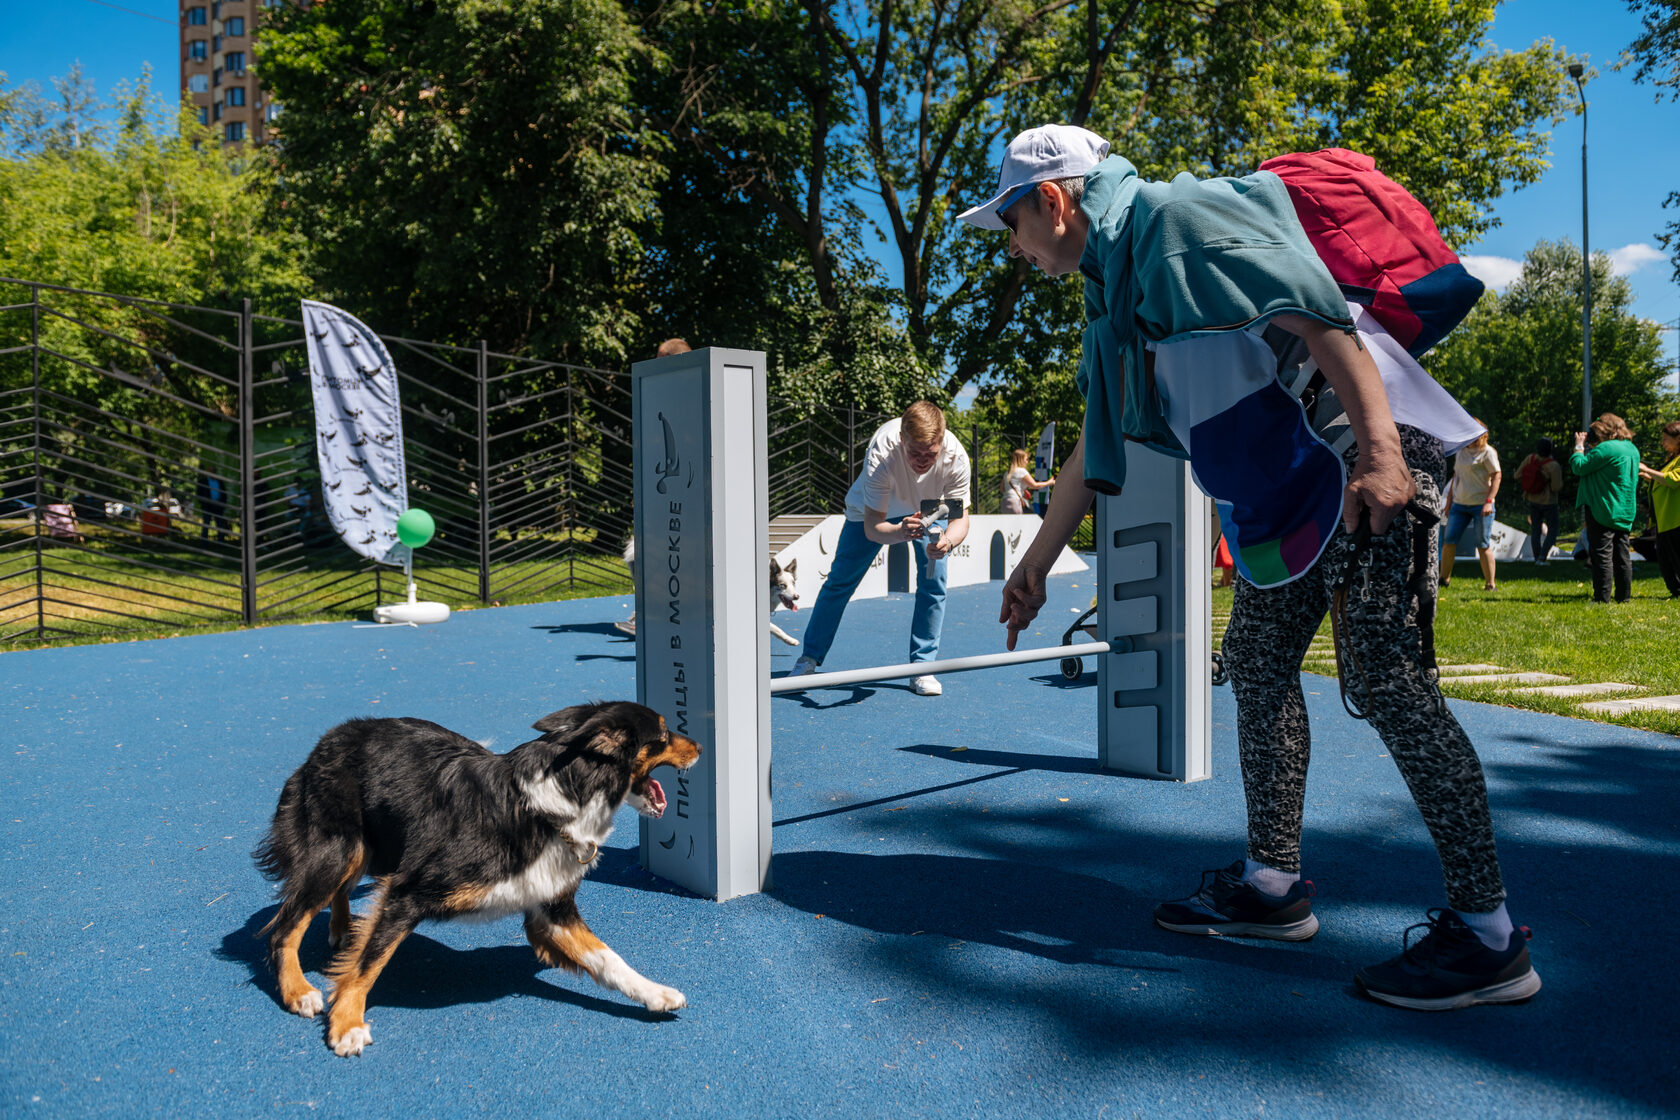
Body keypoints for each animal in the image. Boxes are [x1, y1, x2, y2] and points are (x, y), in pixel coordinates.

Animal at [251, 701, 698, 1061]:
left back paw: (343, 928)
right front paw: (346, 1024)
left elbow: (609, 959)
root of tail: (332, 736)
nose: (699, 746)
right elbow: (369, 963)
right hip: (339, 849)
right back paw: (297, 990)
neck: (550, 806)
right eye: (662, 735)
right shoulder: (407, 891)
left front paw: (654, 993)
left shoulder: (550, 909)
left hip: (367, 847)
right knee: (285, 926)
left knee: (337, 894)